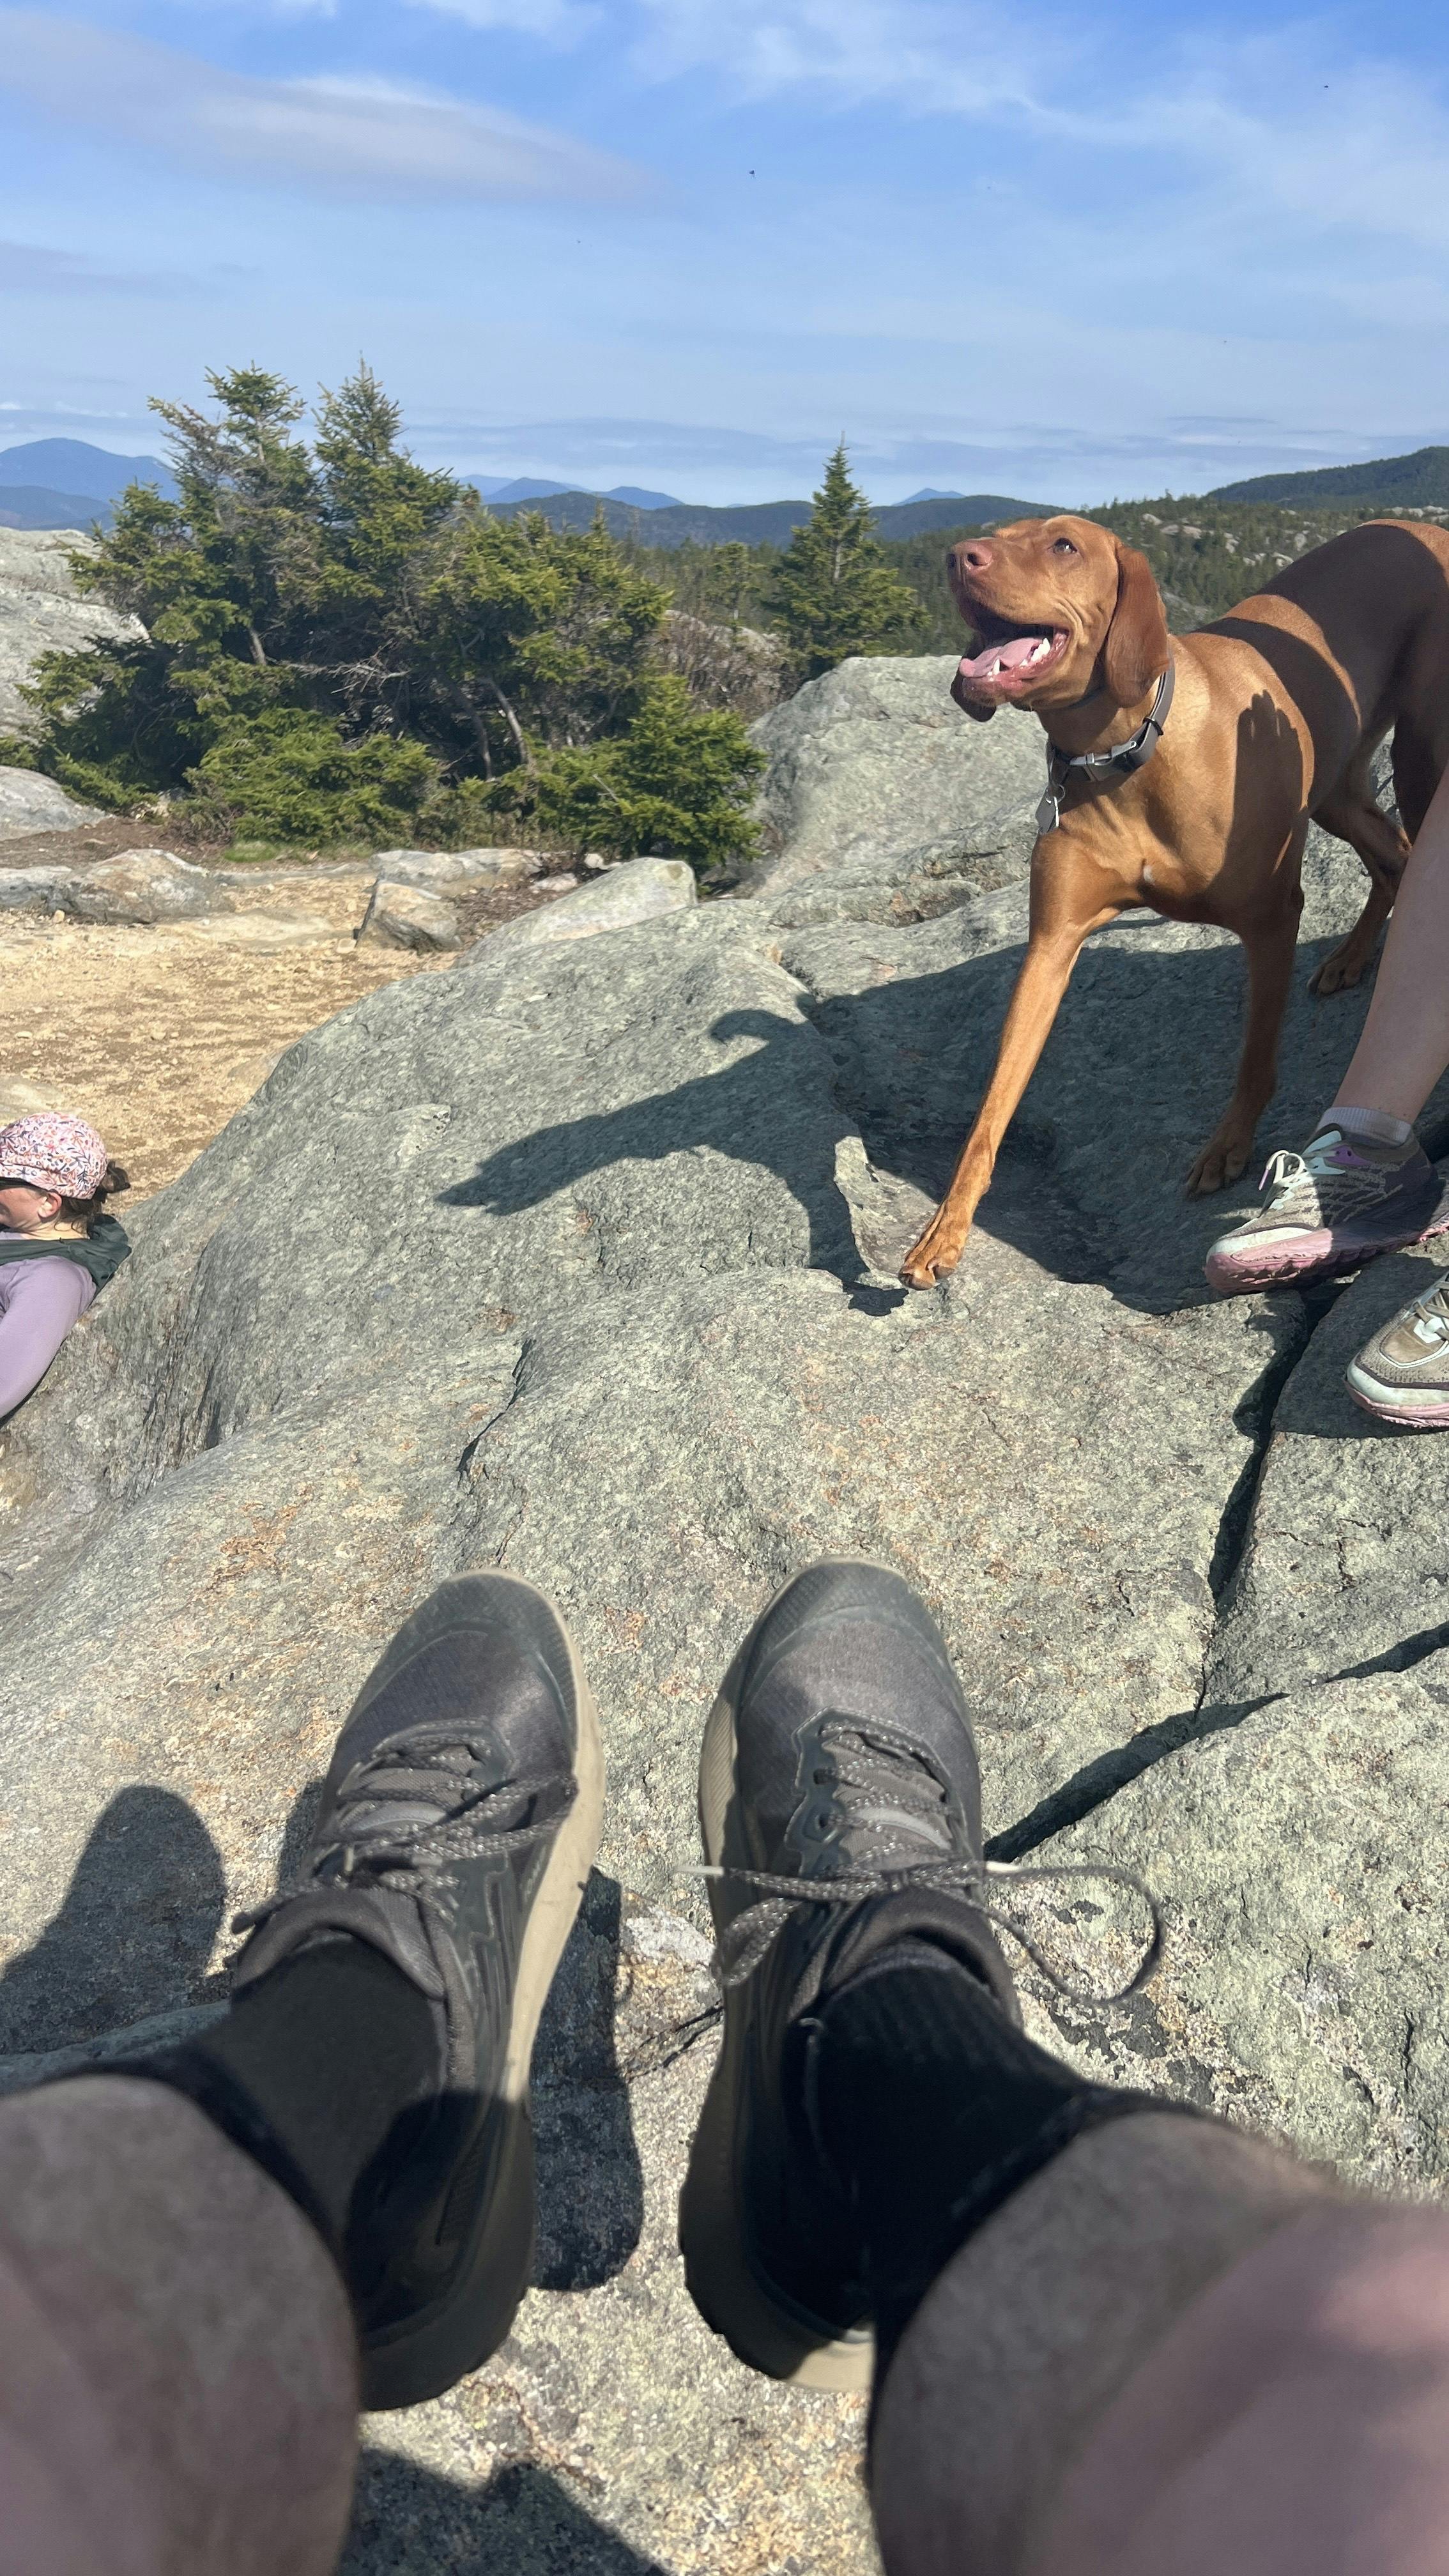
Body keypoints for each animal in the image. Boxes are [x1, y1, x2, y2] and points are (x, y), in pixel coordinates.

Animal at [897, 512, 1443, 1288]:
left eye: (1064, 545)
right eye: (996, 533)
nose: (957, 556)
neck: (1122, 752)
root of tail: (1422, 527)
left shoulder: (1271, 919)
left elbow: (1255, 1056)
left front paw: (1228, 1147)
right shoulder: (1050, 947)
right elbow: (992, 1108)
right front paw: (944, 1230)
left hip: (1422, 756)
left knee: (1407, 847)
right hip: (1338, 786)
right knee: (1392, 856)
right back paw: (1351, 958)